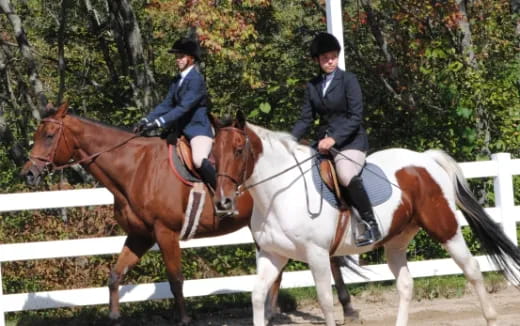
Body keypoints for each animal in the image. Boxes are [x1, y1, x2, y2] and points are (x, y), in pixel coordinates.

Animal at [20, 103, 360, 324]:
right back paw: (276, 310)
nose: (28, 174)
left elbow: (176, 280)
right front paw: (114, 316)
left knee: (327, 260)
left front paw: (184, 319)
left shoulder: (165, 233)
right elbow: (115, 275)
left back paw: (344, 307)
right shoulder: (140, 235)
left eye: (48, 136)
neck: (135, 167)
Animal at [211, 112, 520, 326]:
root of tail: (425, 159)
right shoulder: (273, 255)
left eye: (239, 150)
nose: (223, 202)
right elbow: (257, 296)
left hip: (446, 229)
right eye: (213, 154)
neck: (279, 193)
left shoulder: (317, 254)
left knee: (472, 269)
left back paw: (491, 318)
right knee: (406, 284)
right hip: (396, 241)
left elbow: (325, 301)